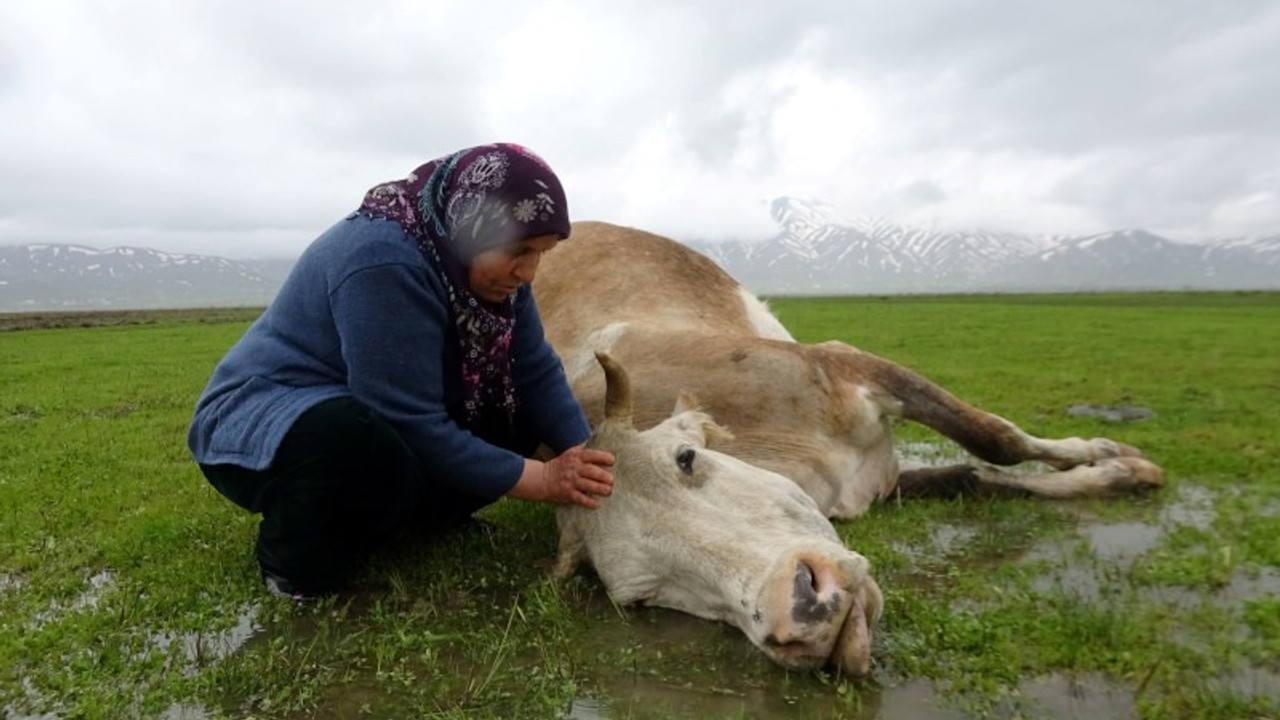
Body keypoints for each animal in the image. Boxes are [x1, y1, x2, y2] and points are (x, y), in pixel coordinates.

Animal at [529, 219, 1162, 515]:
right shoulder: (878, 478)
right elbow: (974, 473)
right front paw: (1123, 469)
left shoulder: (851, 364)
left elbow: (994, 440)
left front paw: (1118, 457)